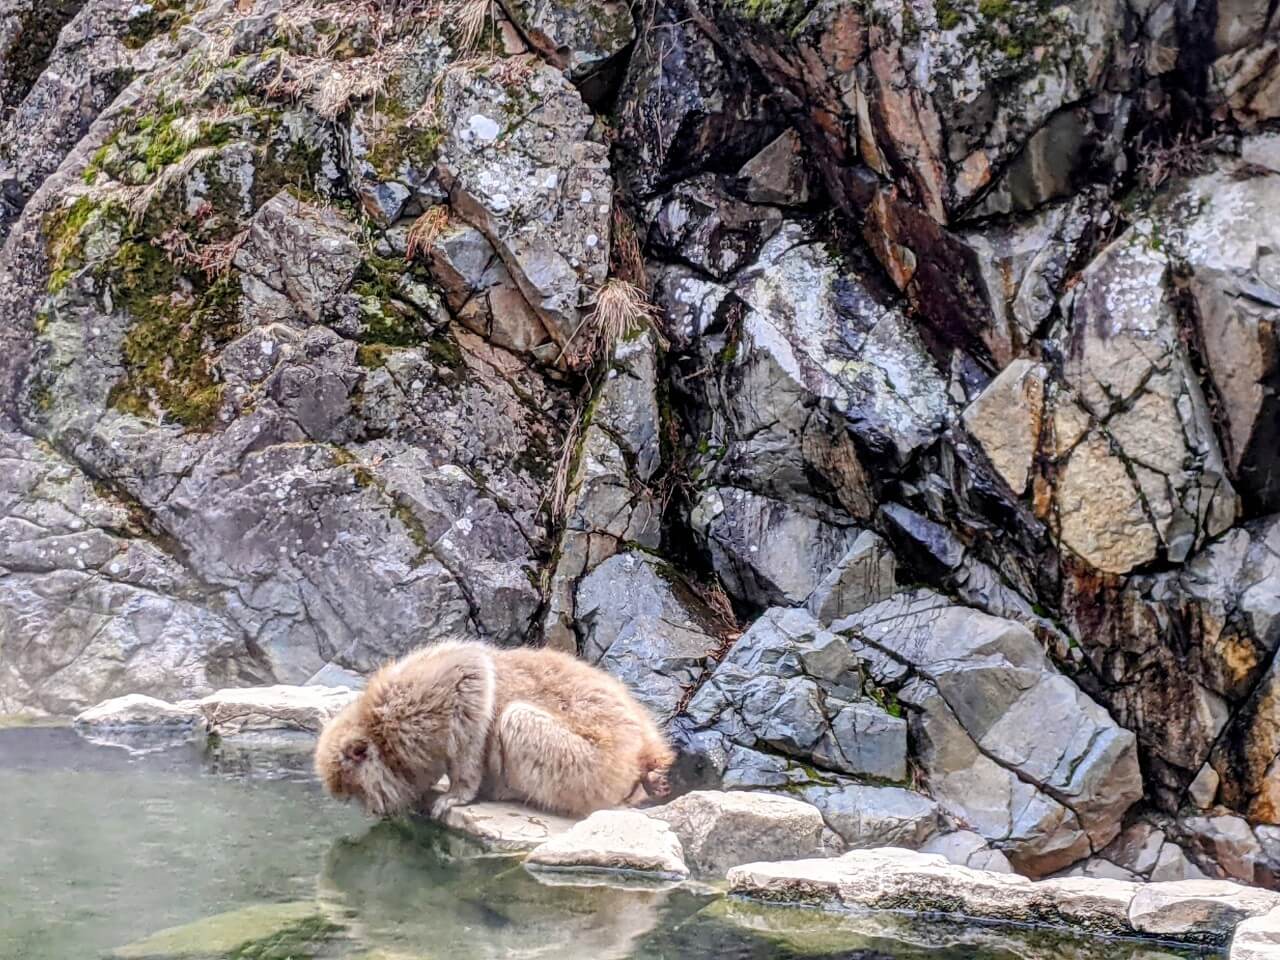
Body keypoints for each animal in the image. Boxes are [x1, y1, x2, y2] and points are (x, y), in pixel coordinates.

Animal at [314, 641, 675, 820]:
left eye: (357, 793)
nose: (371, 810)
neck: (382, 734)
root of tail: (644, 750)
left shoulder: (415, 700)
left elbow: (472, 672)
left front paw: (459, 793)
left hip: (593, 772)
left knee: (516, 720)